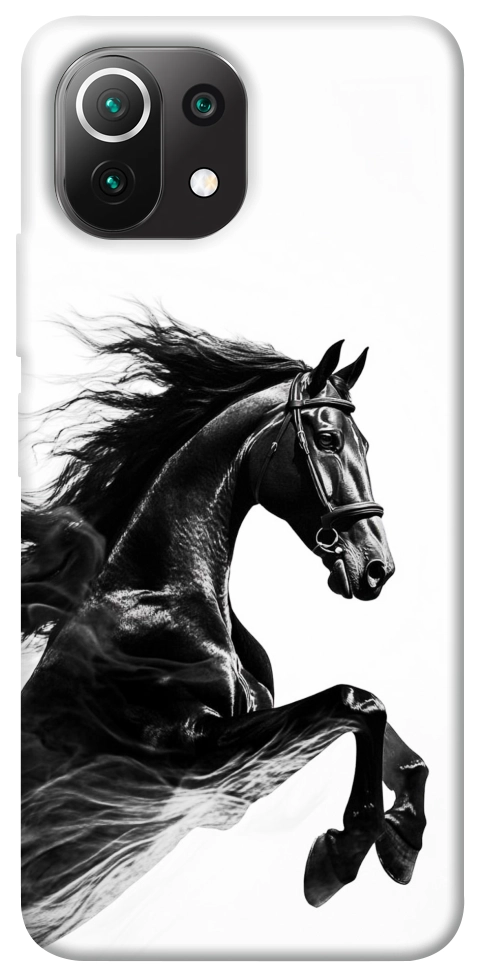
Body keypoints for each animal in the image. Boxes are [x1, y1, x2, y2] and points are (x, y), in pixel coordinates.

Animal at [21, 314, 428, 946]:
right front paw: (338, 858)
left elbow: (391, 738)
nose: (376, 567)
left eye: (364, 443)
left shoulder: (237, 777)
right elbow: (356, 702)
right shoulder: (196, 759)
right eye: (328, 439)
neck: (161, 599)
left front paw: (402, 841)